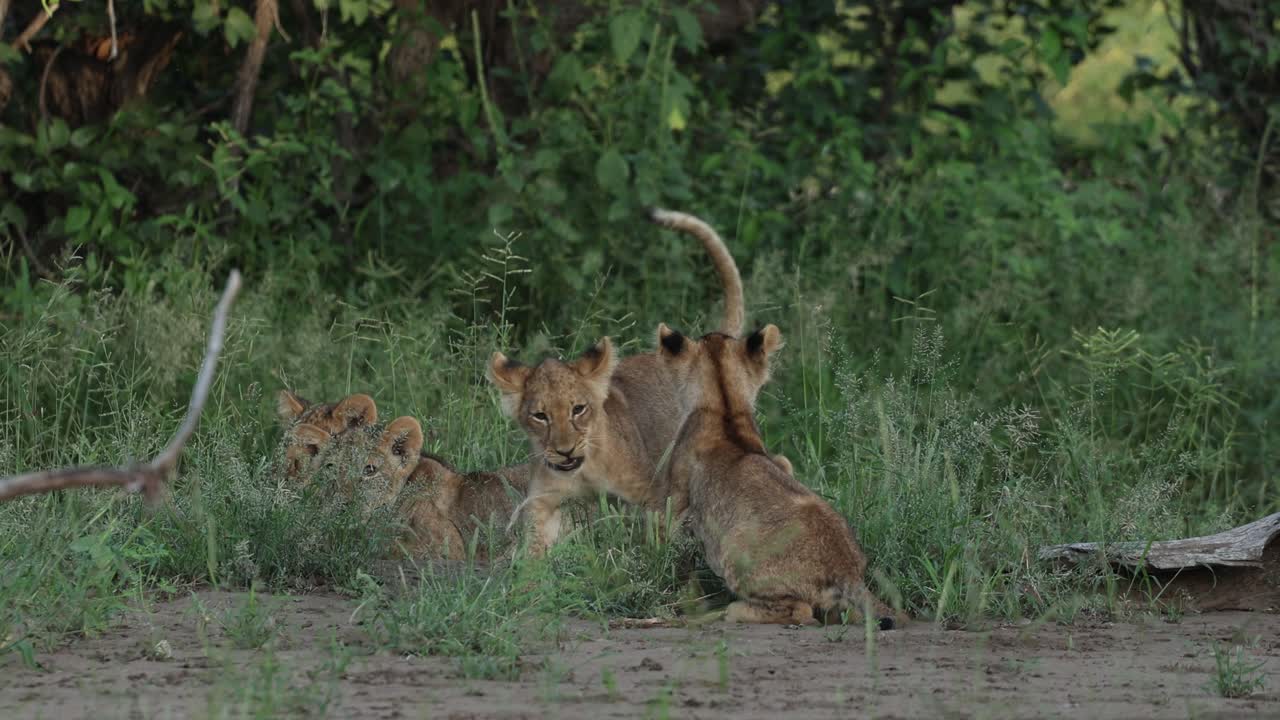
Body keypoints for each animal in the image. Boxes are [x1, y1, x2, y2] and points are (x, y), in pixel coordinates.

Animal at [653, 323, 901, 628]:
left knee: (801, 611)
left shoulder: (676, 499)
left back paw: (733, 610)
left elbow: (668, 544)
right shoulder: (781, 462)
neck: (725, 406)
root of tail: (846, 570)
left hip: (734, 549)